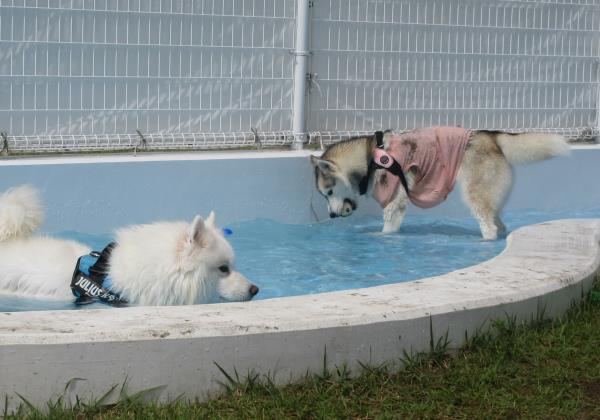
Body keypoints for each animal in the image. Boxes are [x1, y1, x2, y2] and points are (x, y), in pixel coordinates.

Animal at [311, 126, 569, 240]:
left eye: (329, 192)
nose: (331, 215)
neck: (370, 157)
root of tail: (492, 136)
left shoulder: (394, 202)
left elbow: (387, 227)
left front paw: (379, 236)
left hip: (474, 195)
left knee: (489, 227)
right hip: (491, 196)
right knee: (500, 224)